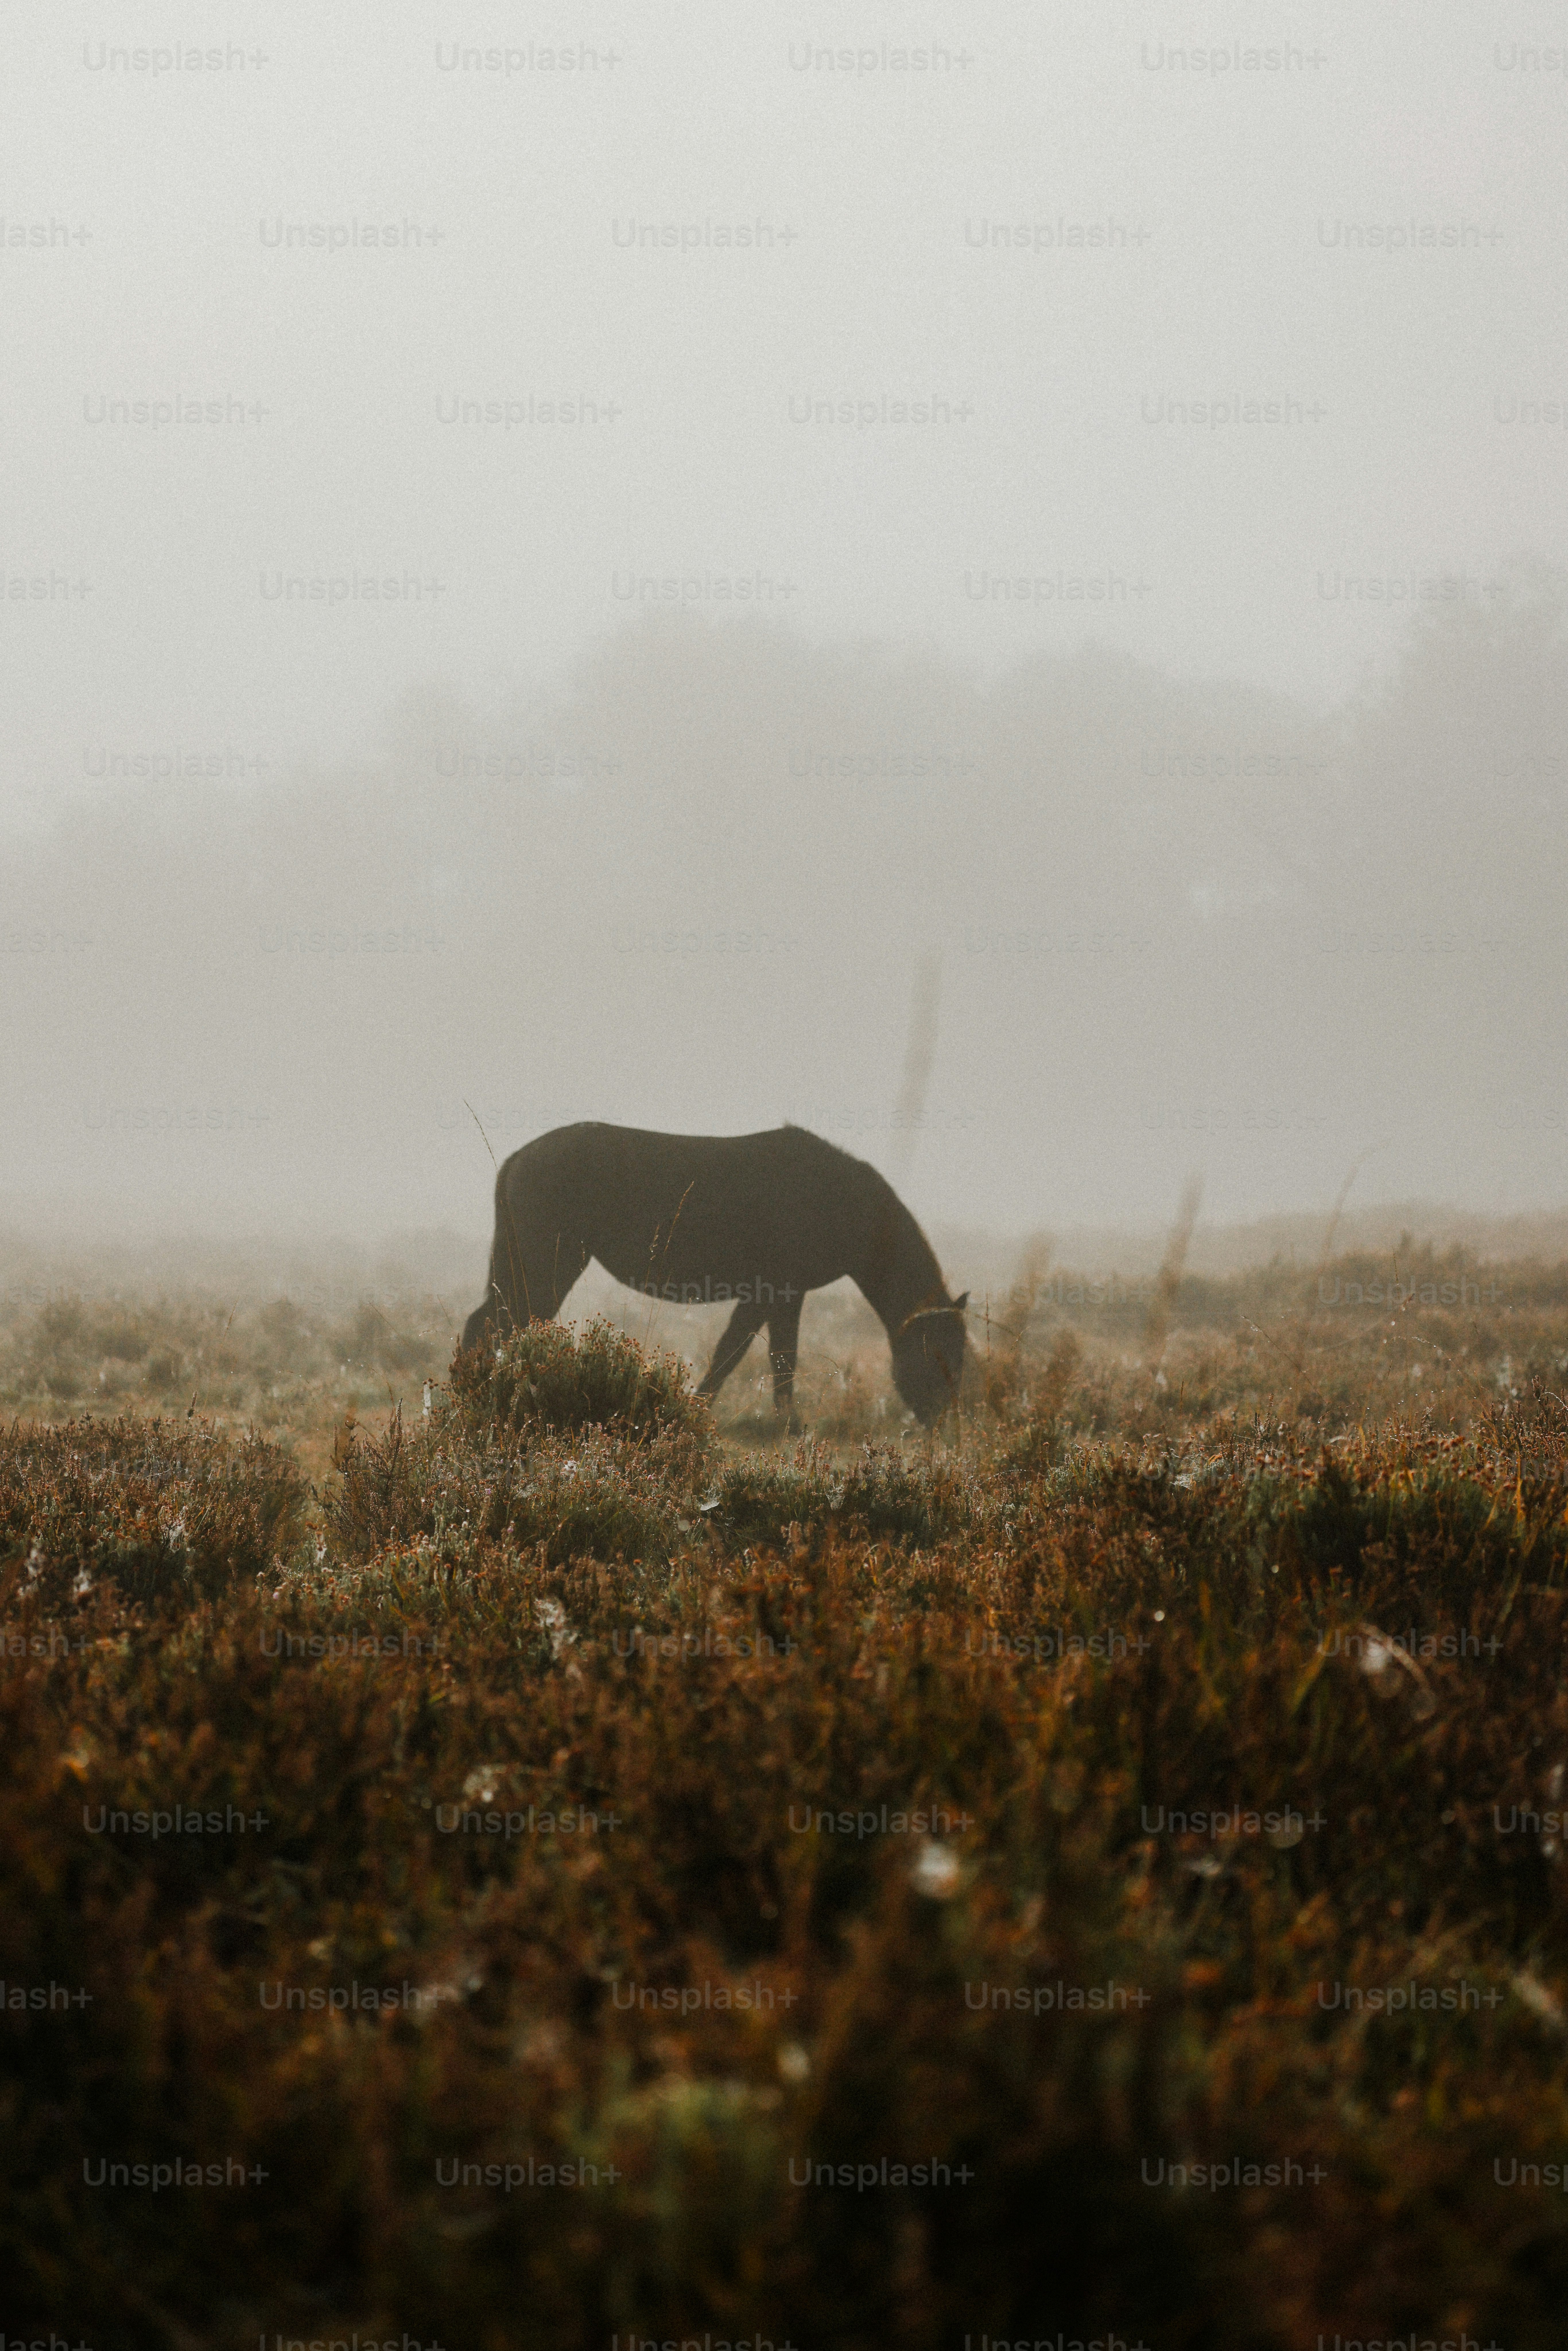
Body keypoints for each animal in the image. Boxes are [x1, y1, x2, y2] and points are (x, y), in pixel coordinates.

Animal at [459, 1121, 968, 1425]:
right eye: (940, 1351)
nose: (941, 1421)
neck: (849, 1205)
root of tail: (518, 1158)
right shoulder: (770, 1291)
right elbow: (743, 1354)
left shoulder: (786, 1295)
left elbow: (772, 1358)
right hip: (547, 1265)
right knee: (491, 1326)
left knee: (489, 1326)